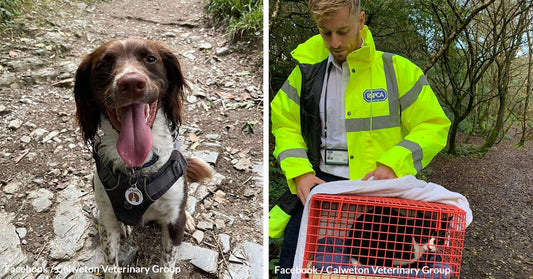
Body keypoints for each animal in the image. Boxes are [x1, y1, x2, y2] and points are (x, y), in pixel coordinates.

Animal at [74, 38, 211, 278]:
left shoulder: (174, 222)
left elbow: (166, 266)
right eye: (103, 64)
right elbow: (111, 265)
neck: (137, 171)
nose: (130, 83)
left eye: (150, 58)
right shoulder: (106, 222)